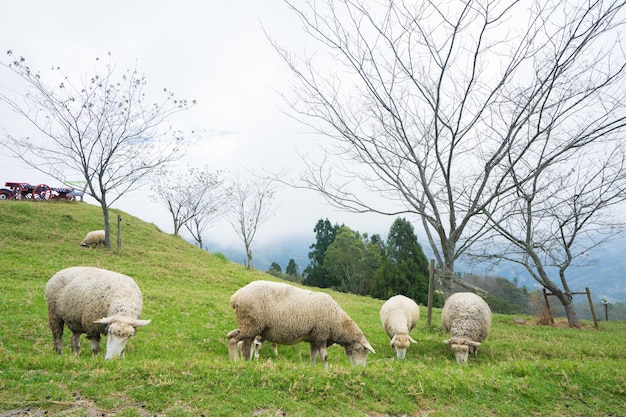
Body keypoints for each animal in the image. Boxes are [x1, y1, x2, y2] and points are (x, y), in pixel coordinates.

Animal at [227, 280, 372, 364]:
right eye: (360, 350)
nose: (359, 369)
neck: (337, 322)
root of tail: (236, 296)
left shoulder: (314, 339)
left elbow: (313, 356)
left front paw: (313, 368)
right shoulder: (321, 335)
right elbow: (324, 357)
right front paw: (327, 370)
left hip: (252, 327)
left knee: (244, 345)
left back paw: (247, 363)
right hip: (250, 324)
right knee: (233, 339)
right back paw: (235, 361)